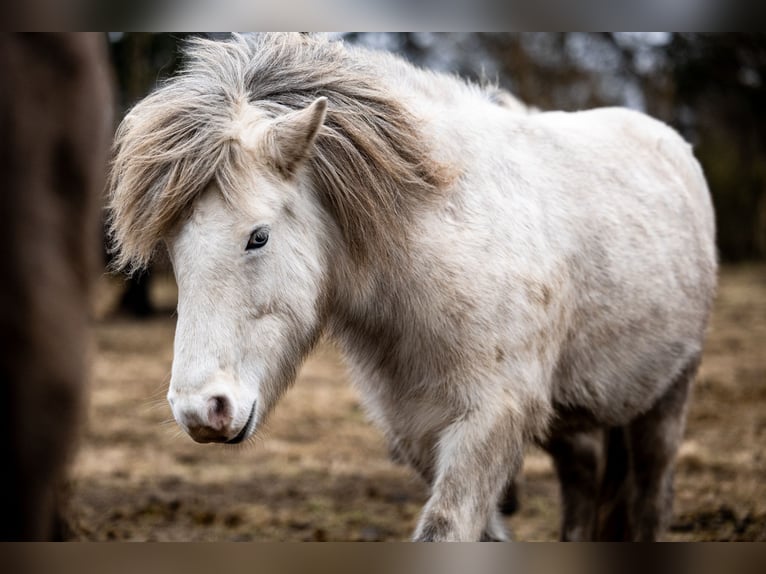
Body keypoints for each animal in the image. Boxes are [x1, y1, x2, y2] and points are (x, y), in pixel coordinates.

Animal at [108, 32, 720, 544]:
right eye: (174, 250)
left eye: (257, 237)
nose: (200, 411)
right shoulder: (415, 431)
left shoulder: (491, 421)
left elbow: (446, 528)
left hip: (668, 396)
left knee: (650, 497)